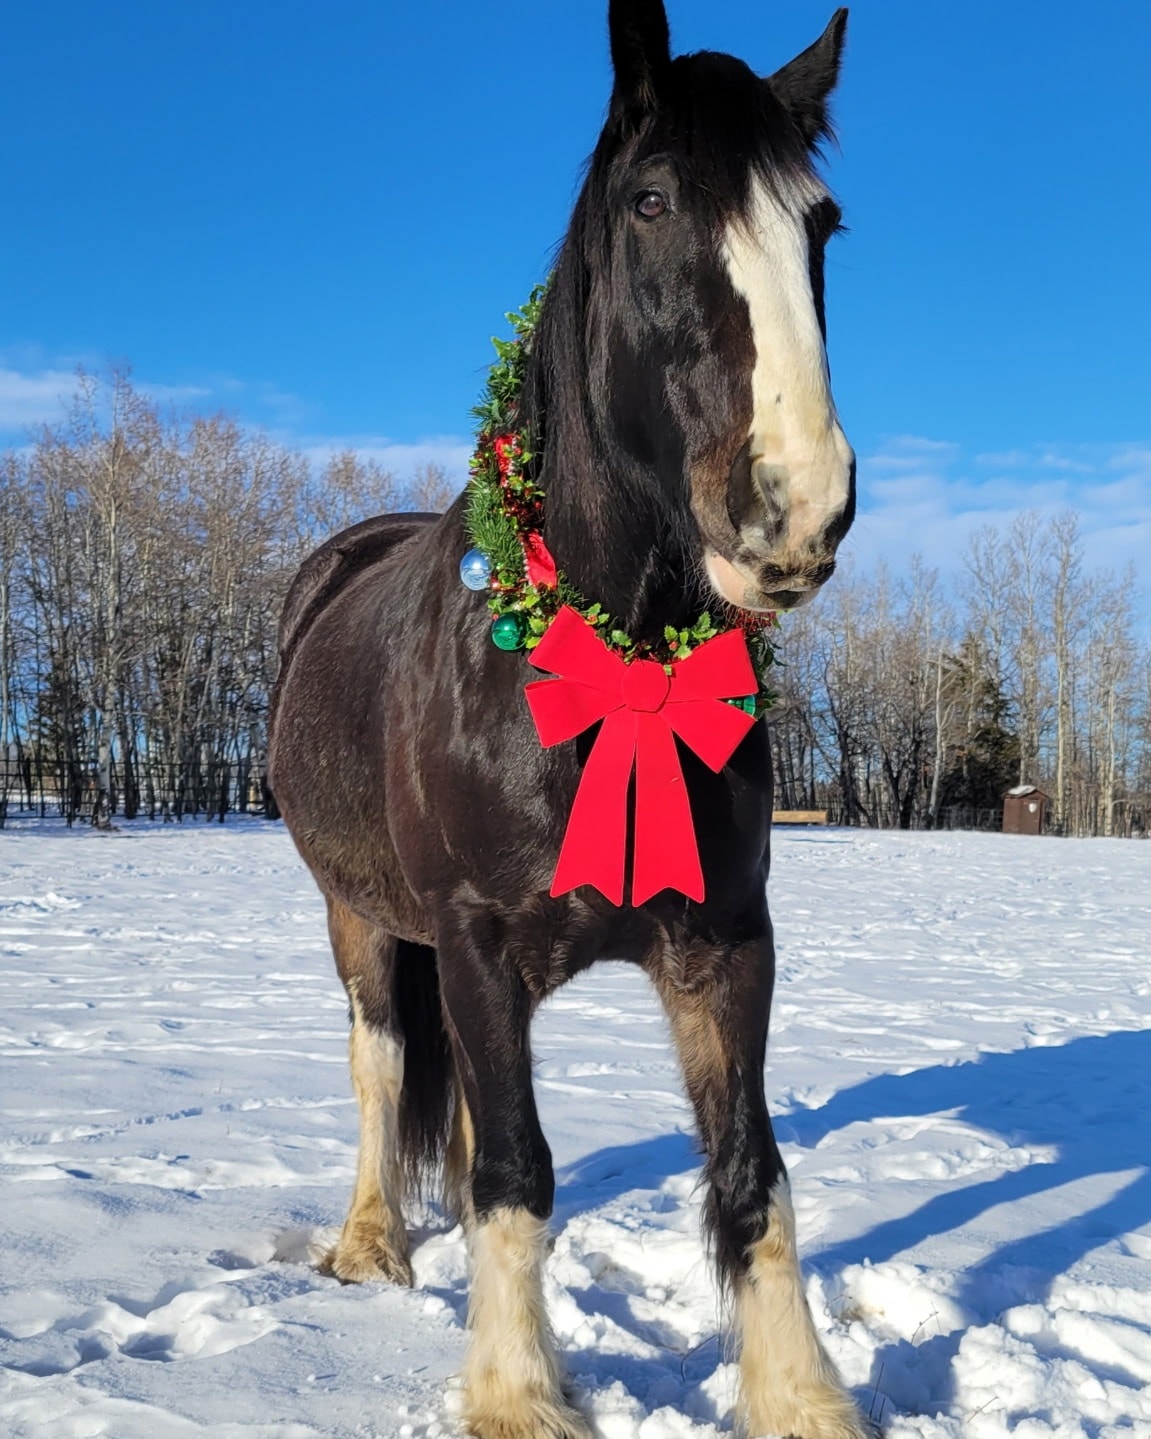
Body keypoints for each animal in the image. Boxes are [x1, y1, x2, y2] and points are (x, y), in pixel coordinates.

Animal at [268, 2, 865, 1435]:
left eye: (820, 225)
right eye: (650, 201)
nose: (794, 506)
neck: (610, 657)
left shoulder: (726, 942)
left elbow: (750, 1172)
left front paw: (799, 1394)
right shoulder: (475, 944)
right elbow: (515, 1170)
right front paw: (516, 1393)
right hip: (360, 915)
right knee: (383, 1066)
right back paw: (370, 1239)